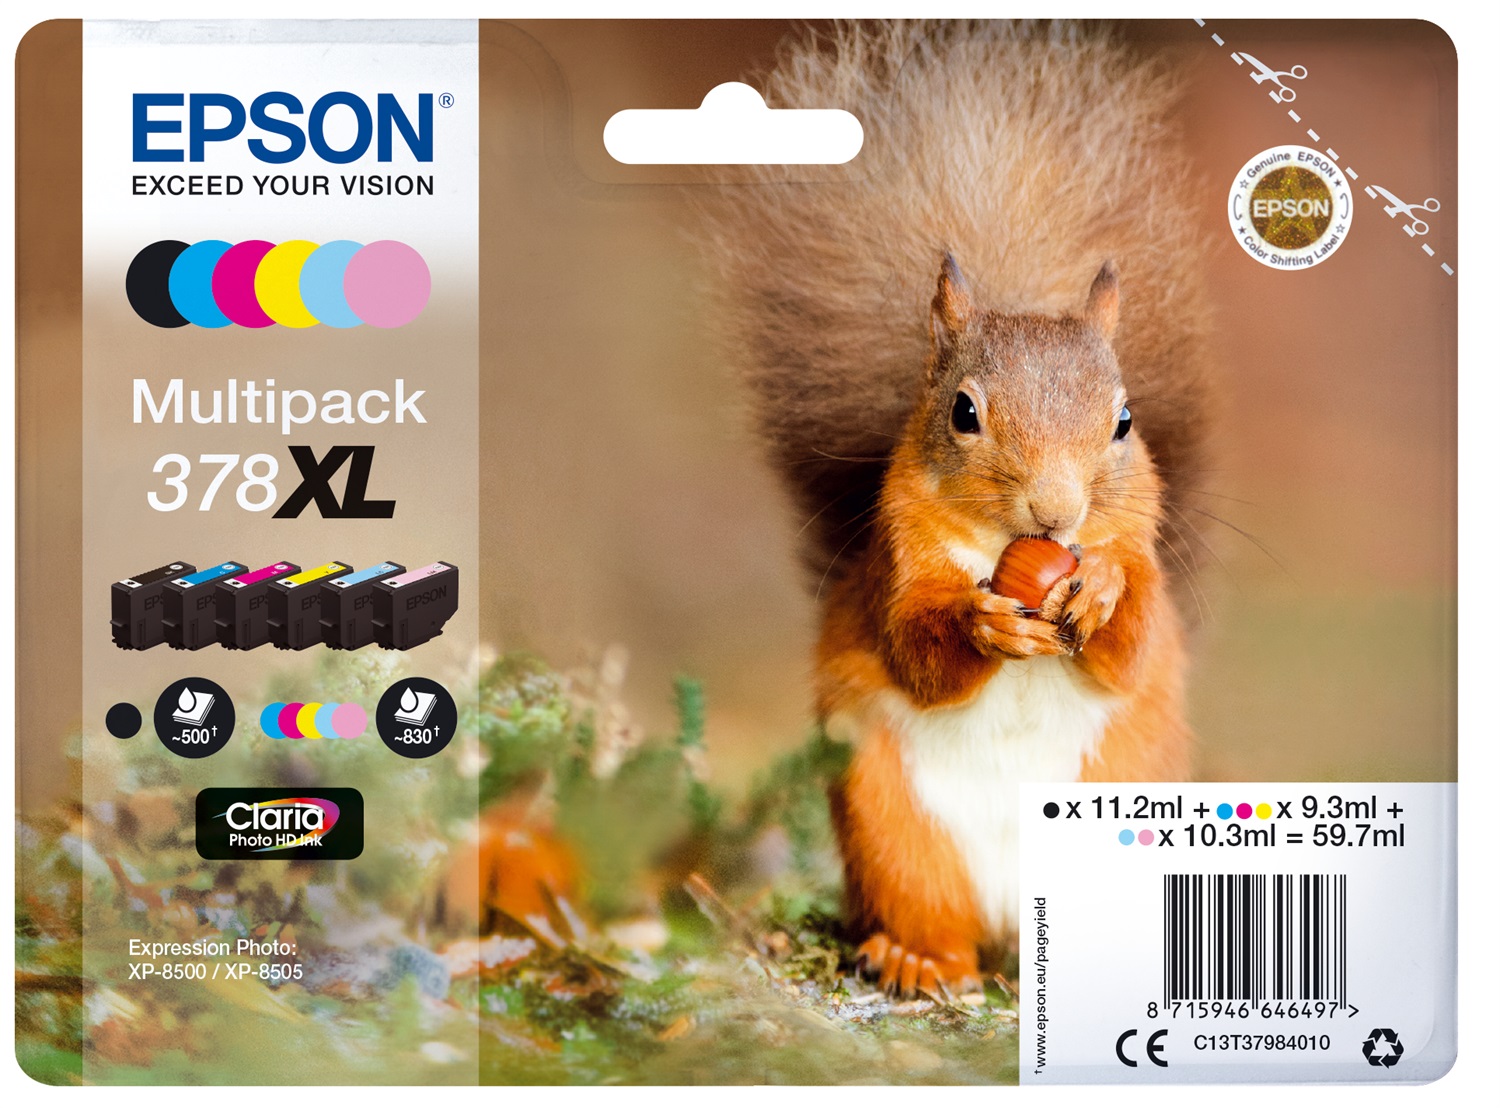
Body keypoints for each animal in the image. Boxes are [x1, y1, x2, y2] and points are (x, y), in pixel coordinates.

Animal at [699, 21, 1214, 995]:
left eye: (1124, 422)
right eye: (963, 413)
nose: (1056, 511)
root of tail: (1019, 927)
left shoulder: (1145, 558)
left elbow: (1129, 648)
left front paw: (1099, 593)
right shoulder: (897, 563)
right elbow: (914, 649)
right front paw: (984, 625)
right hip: (896, 832)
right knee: (936, 919)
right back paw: (916, 959)